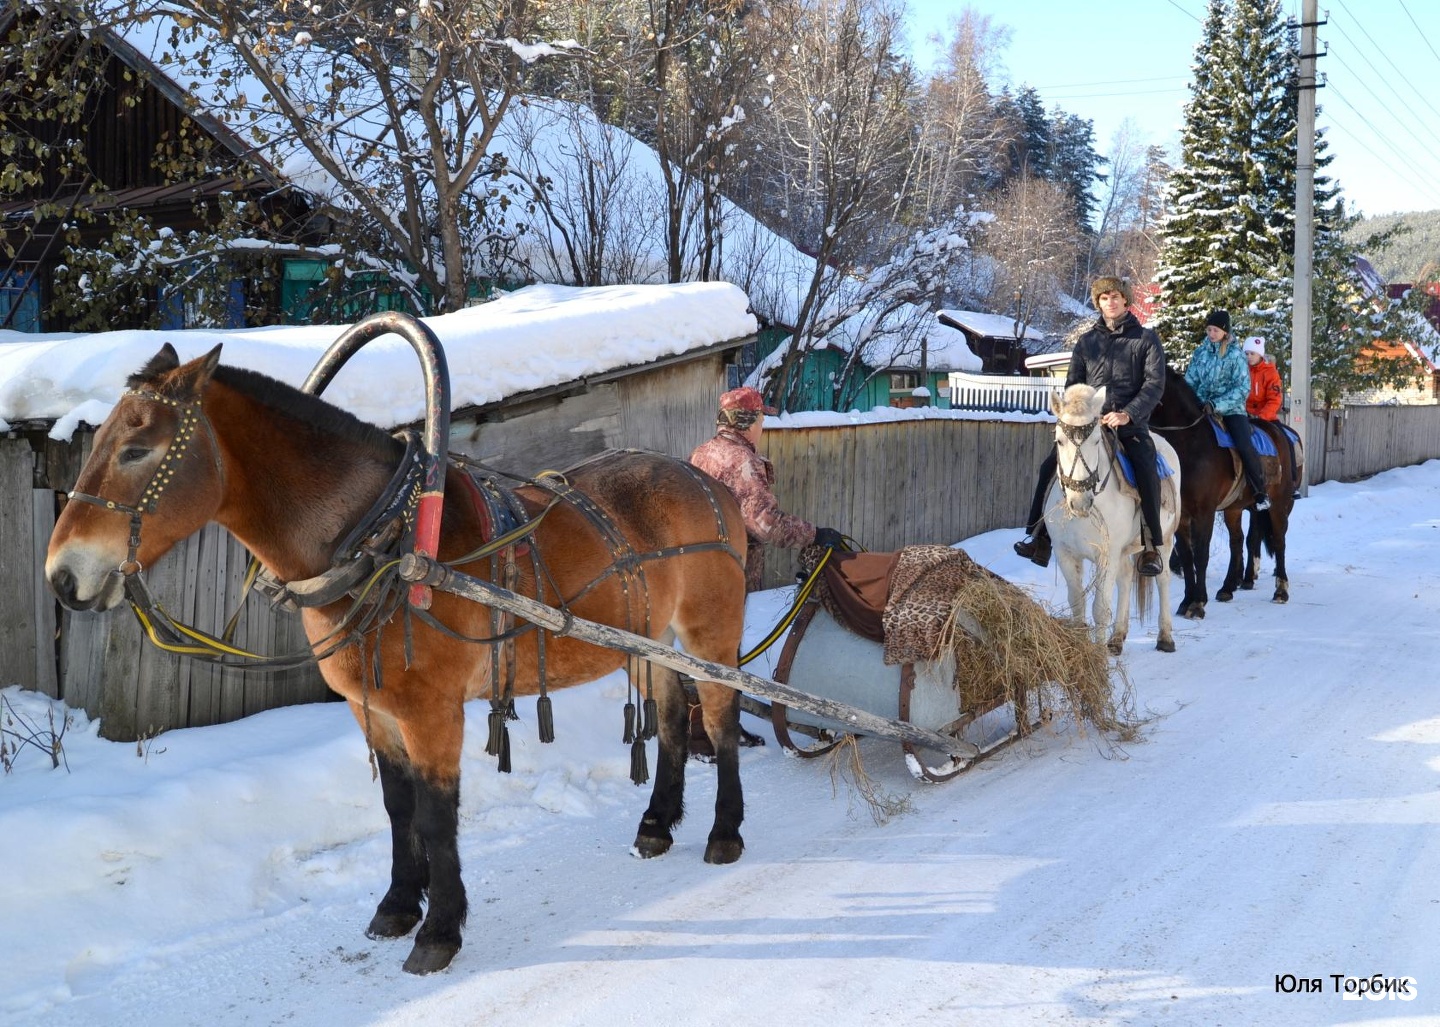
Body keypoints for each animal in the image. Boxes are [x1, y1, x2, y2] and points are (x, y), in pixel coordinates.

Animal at [42, 342, 754, 967]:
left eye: (137, 449)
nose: (63, 577)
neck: (384, 544)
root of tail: (706, 482)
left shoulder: (431, 712)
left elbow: (436, 817)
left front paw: (439, 931)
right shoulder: (372, 710)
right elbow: (397, 806)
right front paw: (398, 905)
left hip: (708, 634)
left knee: (720, 718)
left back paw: (724, 832)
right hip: (649, 643)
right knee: (671, 716)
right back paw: (657, 822)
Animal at [1048, 380, 1180, 653]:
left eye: (1097, 441)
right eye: (1059, 441)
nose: (1080, 502)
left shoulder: (1105, 556)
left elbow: (1100, 608)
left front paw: (1097, 656)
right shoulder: (1065, 553)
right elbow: (1077, 602)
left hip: (1165, 540)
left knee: (1162, 579)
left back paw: (1165, 638)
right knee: (1127, 576)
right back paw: (1117, 638)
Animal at [1146, 371, 1307, 616]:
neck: (1190, 444)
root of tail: (1277, 432)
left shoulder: (1205, 512)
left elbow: (1201, 553)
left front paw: (1198, 603)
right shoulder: (1183, 514)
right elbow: (1186, 554)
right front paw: (1186, 601)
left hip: (1279, 505)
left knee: (1278, 541)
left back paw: (1280, 590)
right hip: (1235, 508)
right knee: (1237, 541)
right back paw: (1228, 587)